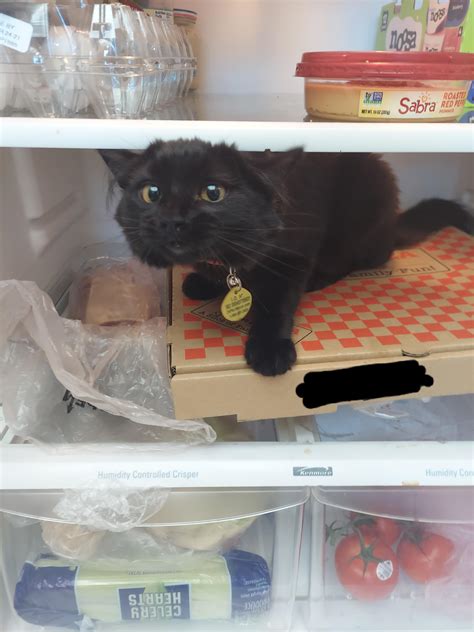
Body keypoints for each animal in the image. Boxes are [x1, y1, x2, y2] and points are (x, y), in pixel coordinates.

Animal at [100, 140, 470, 376]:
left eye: (213, 192)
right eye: (151, 193)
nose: (173, 221)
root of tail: (392, 227)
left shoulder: (295, 255)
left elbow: (277, 303)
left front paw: (270, 349)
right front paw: (204, 282)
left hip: (367, 193)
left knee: (359, 258)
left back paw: (320, 278)